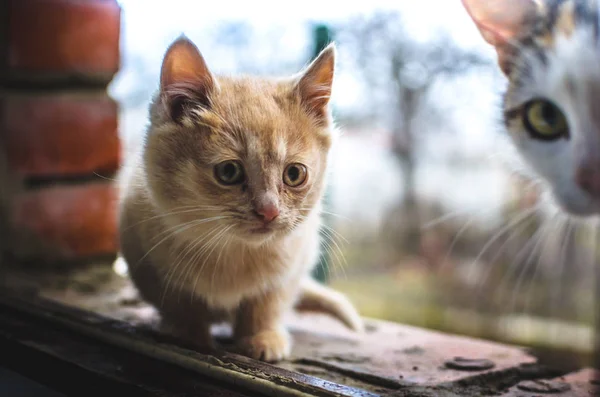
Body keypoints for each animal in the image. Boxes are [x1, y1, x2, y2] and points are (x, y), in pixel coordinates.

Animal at [116, 36, 360, 362]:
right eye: (229, 171)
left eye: (295, 174)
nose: (269, 211)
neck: (232, 252)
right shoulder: (144, 254)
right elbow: (179, 303)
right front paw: (185, 333)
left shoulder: (294, 261)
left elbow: (266, 303)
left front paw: (263, 336)